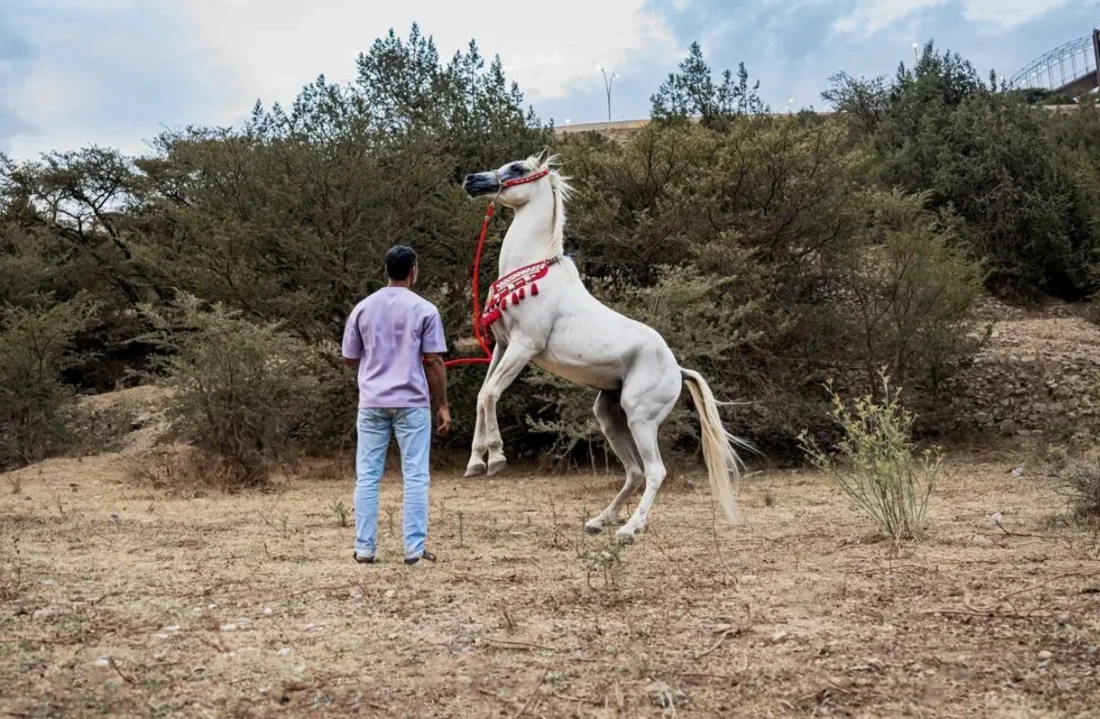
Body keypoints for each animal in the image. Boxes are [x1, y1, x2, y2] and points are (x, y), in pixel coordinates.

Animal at [461, 153, 750, 543]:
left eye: (517, 168)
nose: (471, 180)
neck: (533, 275)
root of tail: (678, 369)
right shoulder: (503, 346)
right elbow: (483, 394)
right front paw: (477, 461)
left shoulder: (524, 346)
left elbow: (491, 393)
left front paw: (496, 457)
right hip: (610, 416)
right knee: (635, 472)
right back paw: (600, 520)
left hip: (640, 417)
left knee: (655, 471)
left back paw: (629, 529)